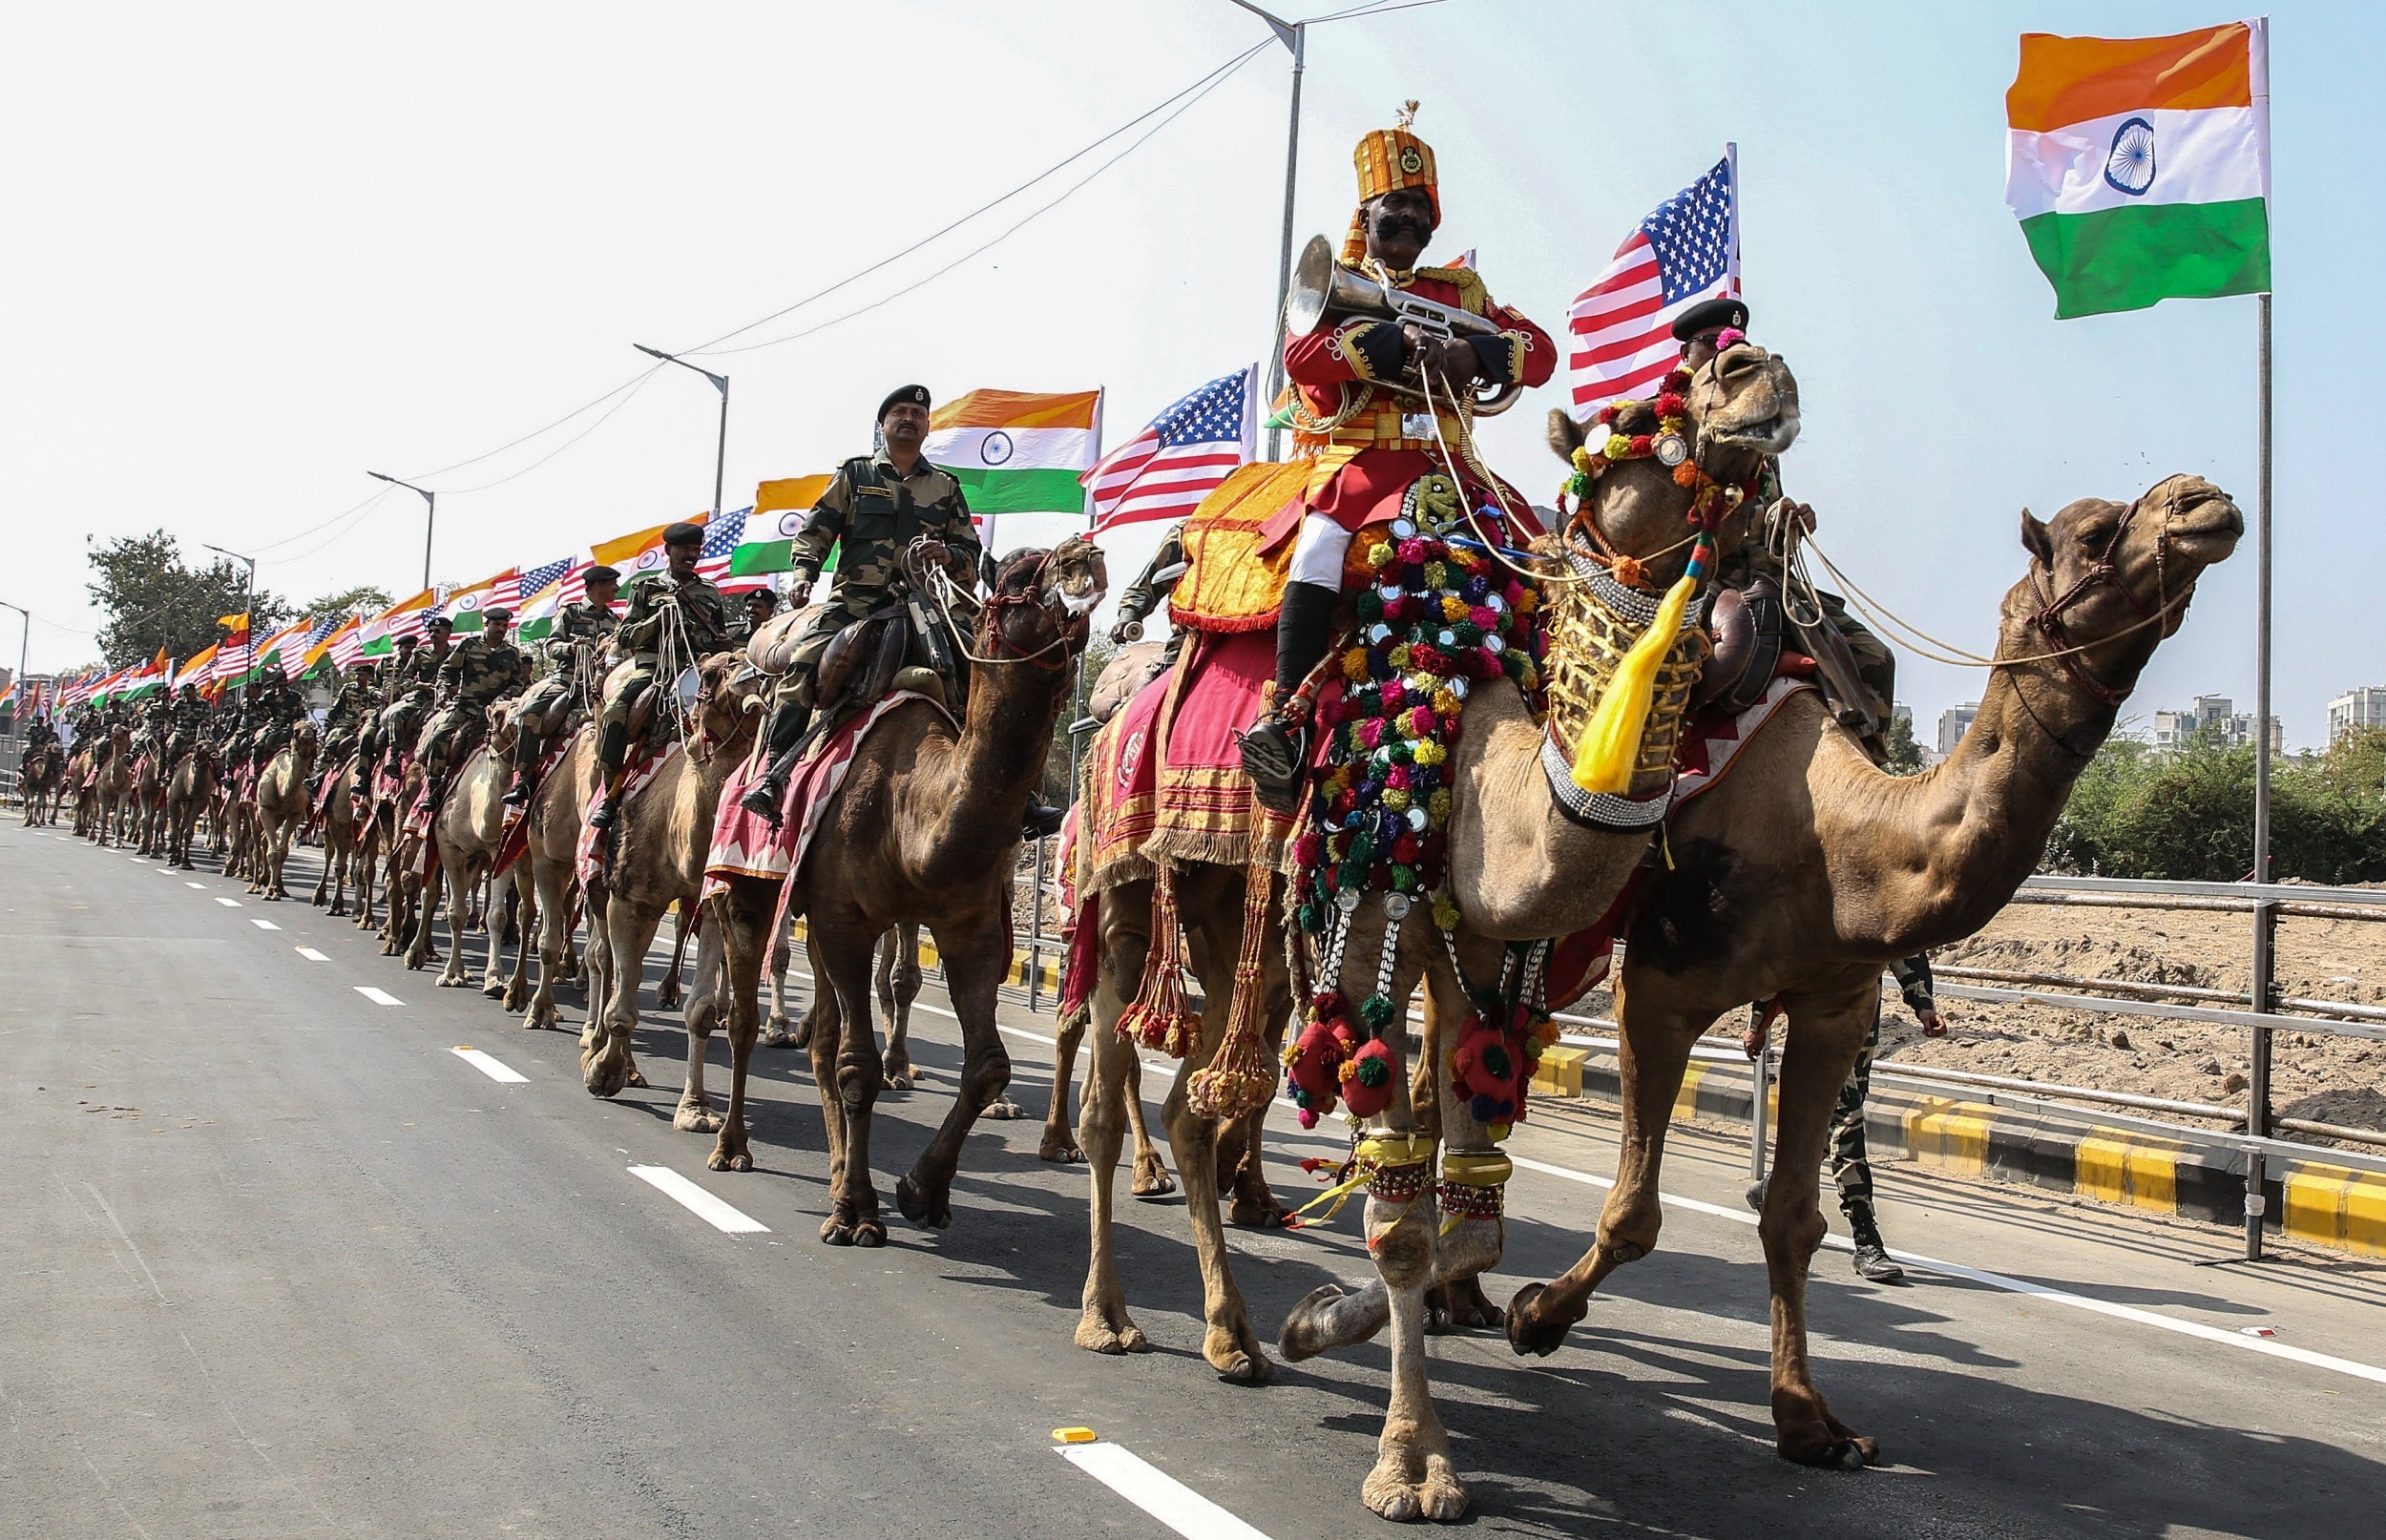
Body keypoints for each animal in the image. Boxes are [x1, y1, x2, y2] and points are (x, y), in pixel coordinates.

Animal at [250, 729, 320, 905]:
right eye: (296, 731)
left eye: (314, 731)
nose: (307, 736)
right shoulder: (264, 808)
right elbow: (273, 852)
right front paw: (269, 892)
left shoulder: (295, 813)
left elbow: (282, 852)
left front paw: (276, 890)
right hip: (253, 809)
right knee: (256, 844)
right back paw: (254, 885)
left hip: (280, 816)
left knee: (264, 840)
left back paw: (271, 882)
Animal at [577, 653, 764, 1120]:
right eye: (714, 672)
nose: (753, 683)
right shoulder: (631, 899)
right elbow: (622, 1003)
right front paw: (602, 1074)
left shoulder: (711, 905)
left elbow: (700, 1010)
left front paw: (695, 1108)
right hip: (597, 883)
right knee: (603, 961)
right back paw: (594, 1044)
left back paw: (631, 1068)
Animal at [701, 543, 1102, 1259]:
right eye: (1017, 577)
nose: (1086, 554)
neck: (914, 814)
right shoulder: (845, 921)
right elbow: (857, 1066)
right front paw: (859, 1215)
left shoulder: (971, 926)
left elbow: (988, 1067)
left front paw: (921, 1191)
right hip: (747, 890)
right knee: (745, 1020)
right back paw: (732, 1146)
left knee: (819, 1042)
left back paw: (836, 1170)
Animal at [1498, 474, 2243, 1488]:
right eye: (2094, 534)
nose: (2208, 502)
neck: (1834, 839)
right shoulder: (1657, 986)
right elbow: (1634, 1215)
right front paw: (1534, 1316)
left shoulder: (1834, 1007)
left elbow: (1792, 1221)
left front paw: (1810, 1423)